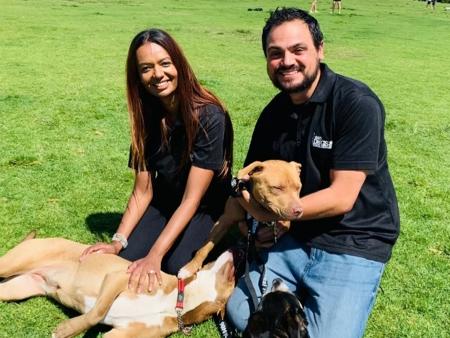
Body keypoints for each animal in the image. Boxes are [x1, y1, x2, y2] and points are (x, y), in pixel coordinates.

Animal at [0, 232, 236, 338]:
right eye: (233, 277)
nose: (236, 249)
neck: (178, 303)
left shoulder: (121, 335)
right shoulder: (118, 278)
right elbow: (95, 314)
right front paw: (67, 329)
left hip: (14, 290)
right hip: (13, 263)